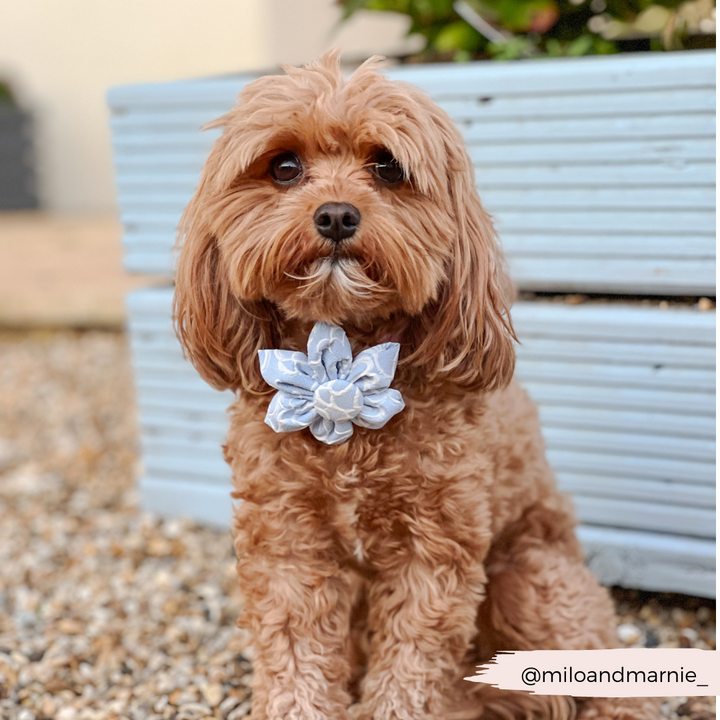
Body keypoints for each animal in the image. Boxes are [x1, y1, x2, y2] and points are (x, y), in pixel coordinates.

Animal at [173, 52, 660, 720]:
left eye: (387, 166)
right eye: (284, 167)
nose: (336, 214)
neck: (342, 371)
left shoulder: (434, 548)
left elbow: (412, 663)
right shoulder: (288, 541)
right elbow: (296, 652)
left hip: (531, 581)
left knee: (603, 675)